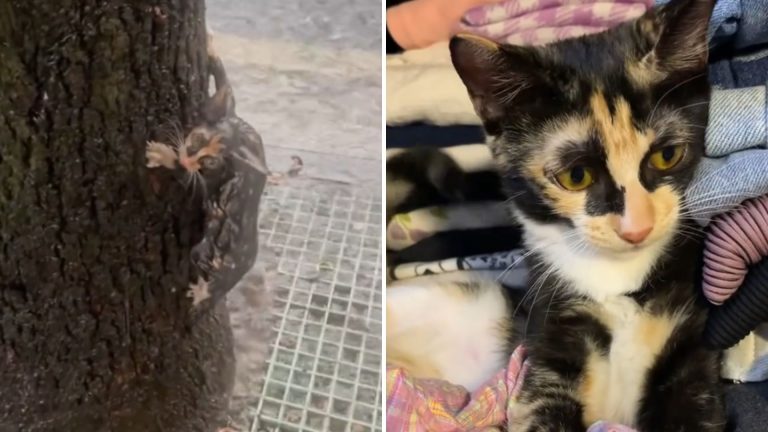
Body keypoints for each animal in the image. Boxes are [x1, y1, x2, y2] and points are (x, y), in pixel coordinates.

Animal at [390, 0, 728, 430]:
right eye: (576, 176)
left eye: (667, 155)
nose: (637, 228)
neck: (616, 283)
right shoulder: (546, 343)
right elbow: (541, 407)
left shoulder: (693, 343)